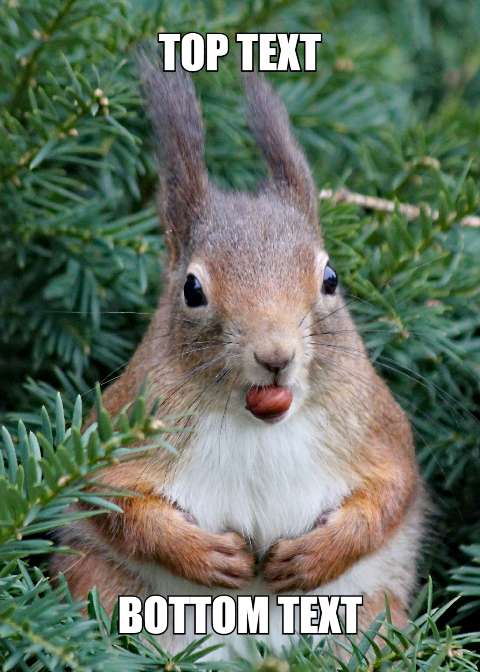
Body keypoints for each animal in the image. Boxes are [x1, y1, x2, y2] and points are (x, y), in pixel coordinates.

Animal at [51, 59, 425, 659]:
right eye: (192, 289)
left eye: (330, 278)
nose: (275, 355)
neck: (258, 421)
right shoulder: (123, 423)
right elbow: (111, 499)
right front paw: (204, 555)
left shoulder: (375, 427)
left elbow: (391, 490)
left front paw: (315, 556)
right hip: (102, 584)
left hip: (370, 614)